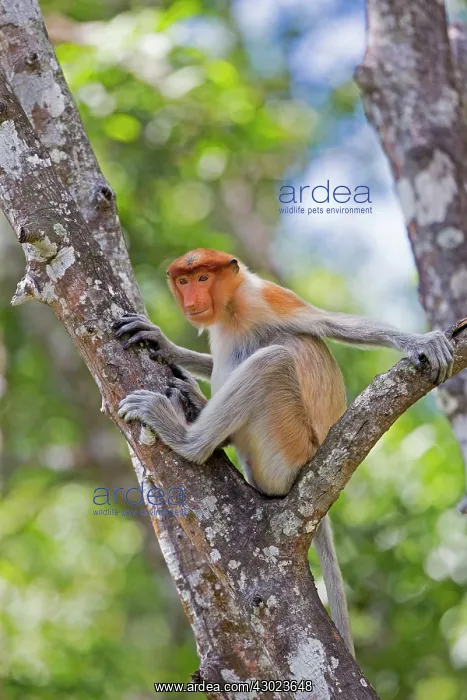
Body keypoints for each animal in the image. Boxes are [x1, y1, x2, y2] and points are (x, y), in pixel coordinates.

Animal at [114, 248, 454, 656]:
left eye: (203, 278)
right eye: (184, 280)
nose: (192, 300)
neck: (231, 305)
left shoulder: (265, 297)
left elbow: (330, 322)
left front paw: (422, 342)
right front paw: (160, 341)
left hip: (284, 446)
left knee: (272, 358)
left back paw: (186, 436)